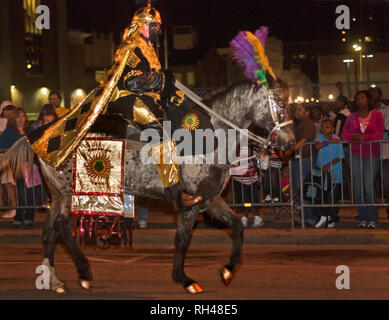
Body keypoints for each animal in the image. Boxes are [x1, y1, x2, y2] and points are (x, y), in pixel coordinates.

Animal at [0, 80, 294, 296]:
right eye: (279, 105)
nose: (290, 143)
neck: (208, 137)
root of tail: (39, 134)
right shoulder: (190, 203)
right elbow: (182, 240)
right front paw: (184, 279)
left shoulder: (209, 200)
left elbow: (235, 226)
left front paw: (229, 269)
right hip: (69, 192)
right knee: (61, 227)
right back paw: (83, 272)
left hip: (58, 194)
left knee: (49, 231)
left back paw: (55, 280)